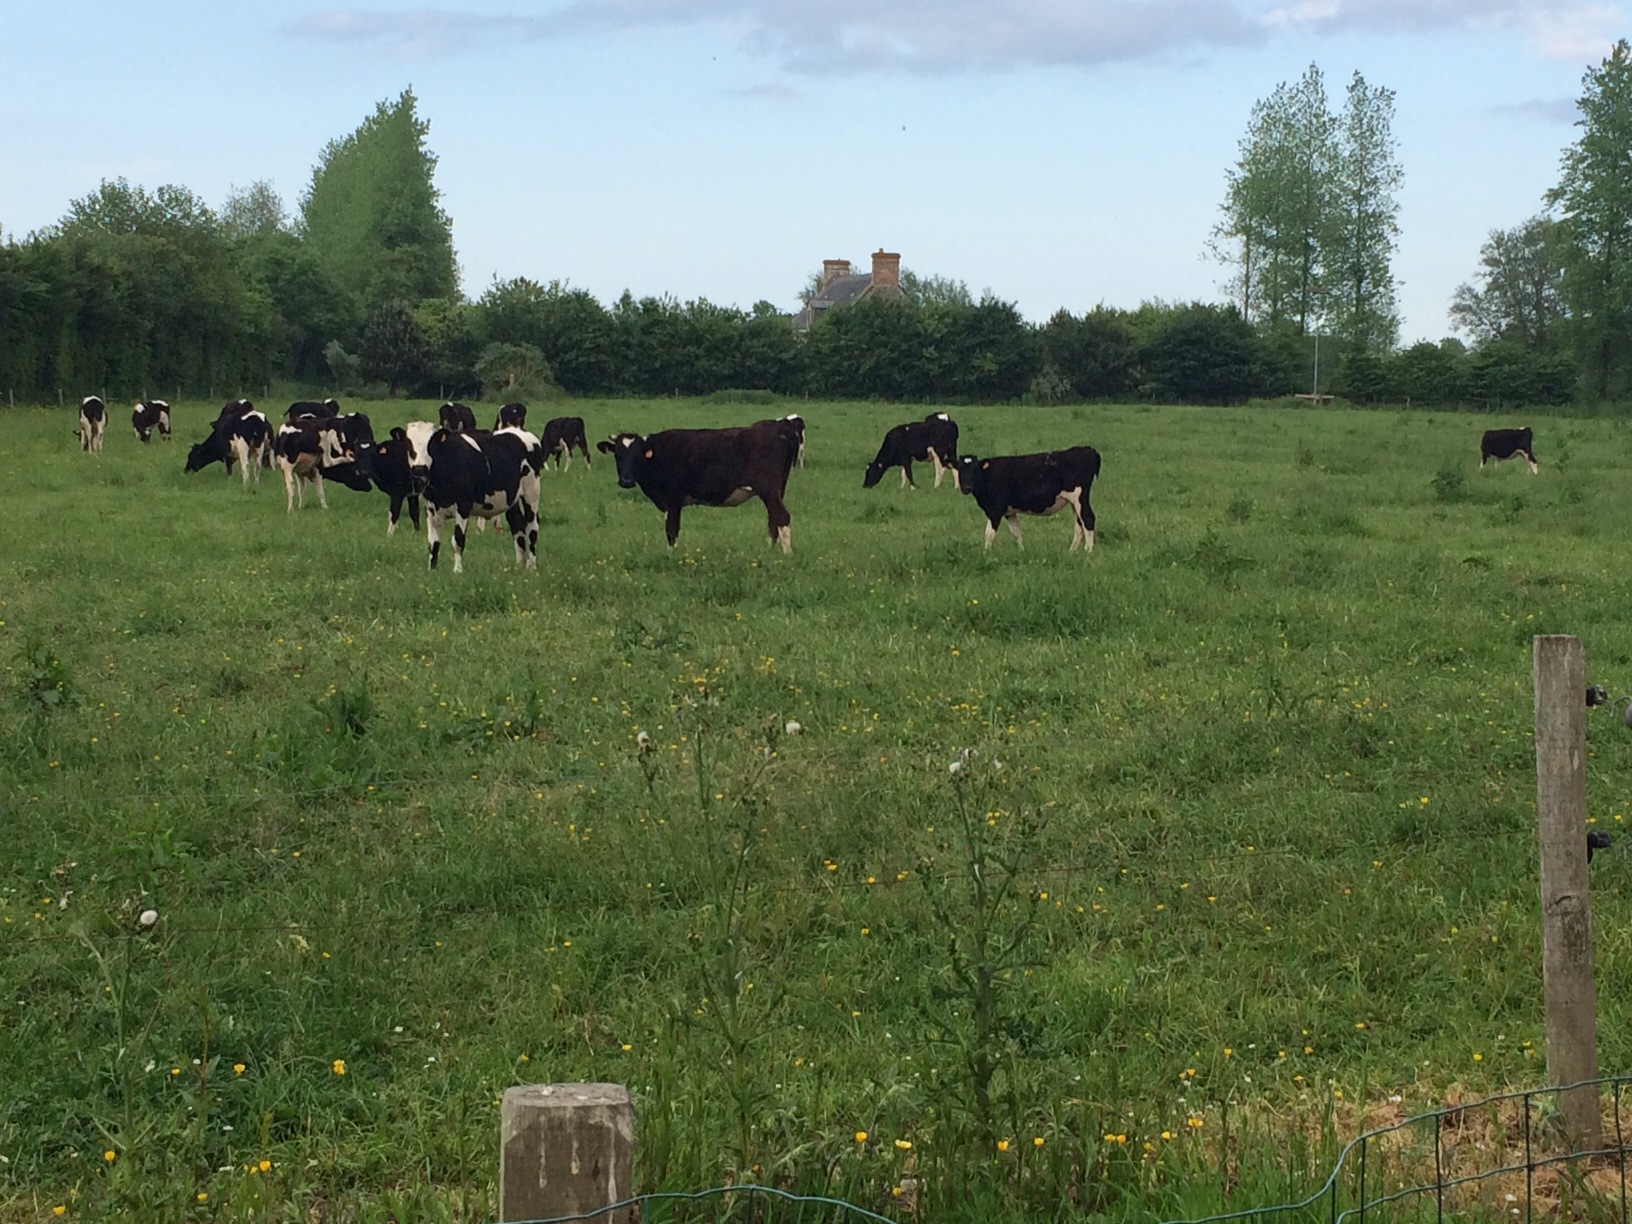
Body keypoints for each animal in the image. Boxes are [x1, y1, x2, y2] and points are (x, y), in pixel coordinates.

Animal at [402, 424, 544, 572]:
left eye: (431, 445)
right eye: (409, 444)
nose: (419, 470)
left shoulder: (463, 506)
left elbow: (458, 539)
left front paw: (458, 570)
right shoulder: (430, 509)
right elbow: (433, 542)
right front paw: (432, 569)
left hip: (531, 492)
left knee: (532, 528)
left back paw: (532, 566)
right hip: (511, 500)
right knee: (517, 526)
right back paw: (519, 565)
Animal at [597, 420, 800, 553]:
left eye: (637, 455)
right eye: (618, 455)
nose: (626, 481)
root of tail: (779, 426)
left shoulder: (673, 500)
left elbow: (671, 530)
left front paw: (671, 556)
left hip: (768, 488)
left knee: (782, 517)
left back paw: (786, 554)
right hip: (778, 489)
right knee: (773, 518)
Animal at [953, 446, 1102, 552]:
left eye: (974, 470)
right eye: (960, 470)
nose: (966, 487)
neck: (987, 476)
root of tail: (1088, 450)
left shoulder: (995, 510)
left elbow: (989, 533)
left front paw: (986, 554)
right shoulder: (1009, 511)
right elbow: (1016, 532)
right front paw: (1022, 551)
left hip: (1079, 497)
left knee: (1088, 519)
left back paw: (1088, 551)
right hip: (1073, 502)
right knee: (1079, 524)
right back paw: (1071, 551)